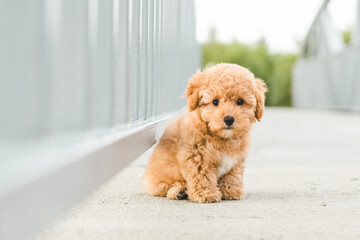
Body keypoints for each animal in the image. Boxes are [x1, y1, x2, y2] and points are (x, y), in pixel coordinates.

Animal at [142, 63, 266, 202]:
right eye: (215, 102)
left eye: (240, 101)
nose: (229, 119)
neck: (221, 138)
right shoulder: (197, 157)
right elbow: (202, 176)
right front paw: (206, 194)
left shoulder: (236, 160)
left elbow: (233, 175)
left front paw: (231, 191)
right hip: (158, 179)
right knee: (163, 187)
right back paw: (178, 191)